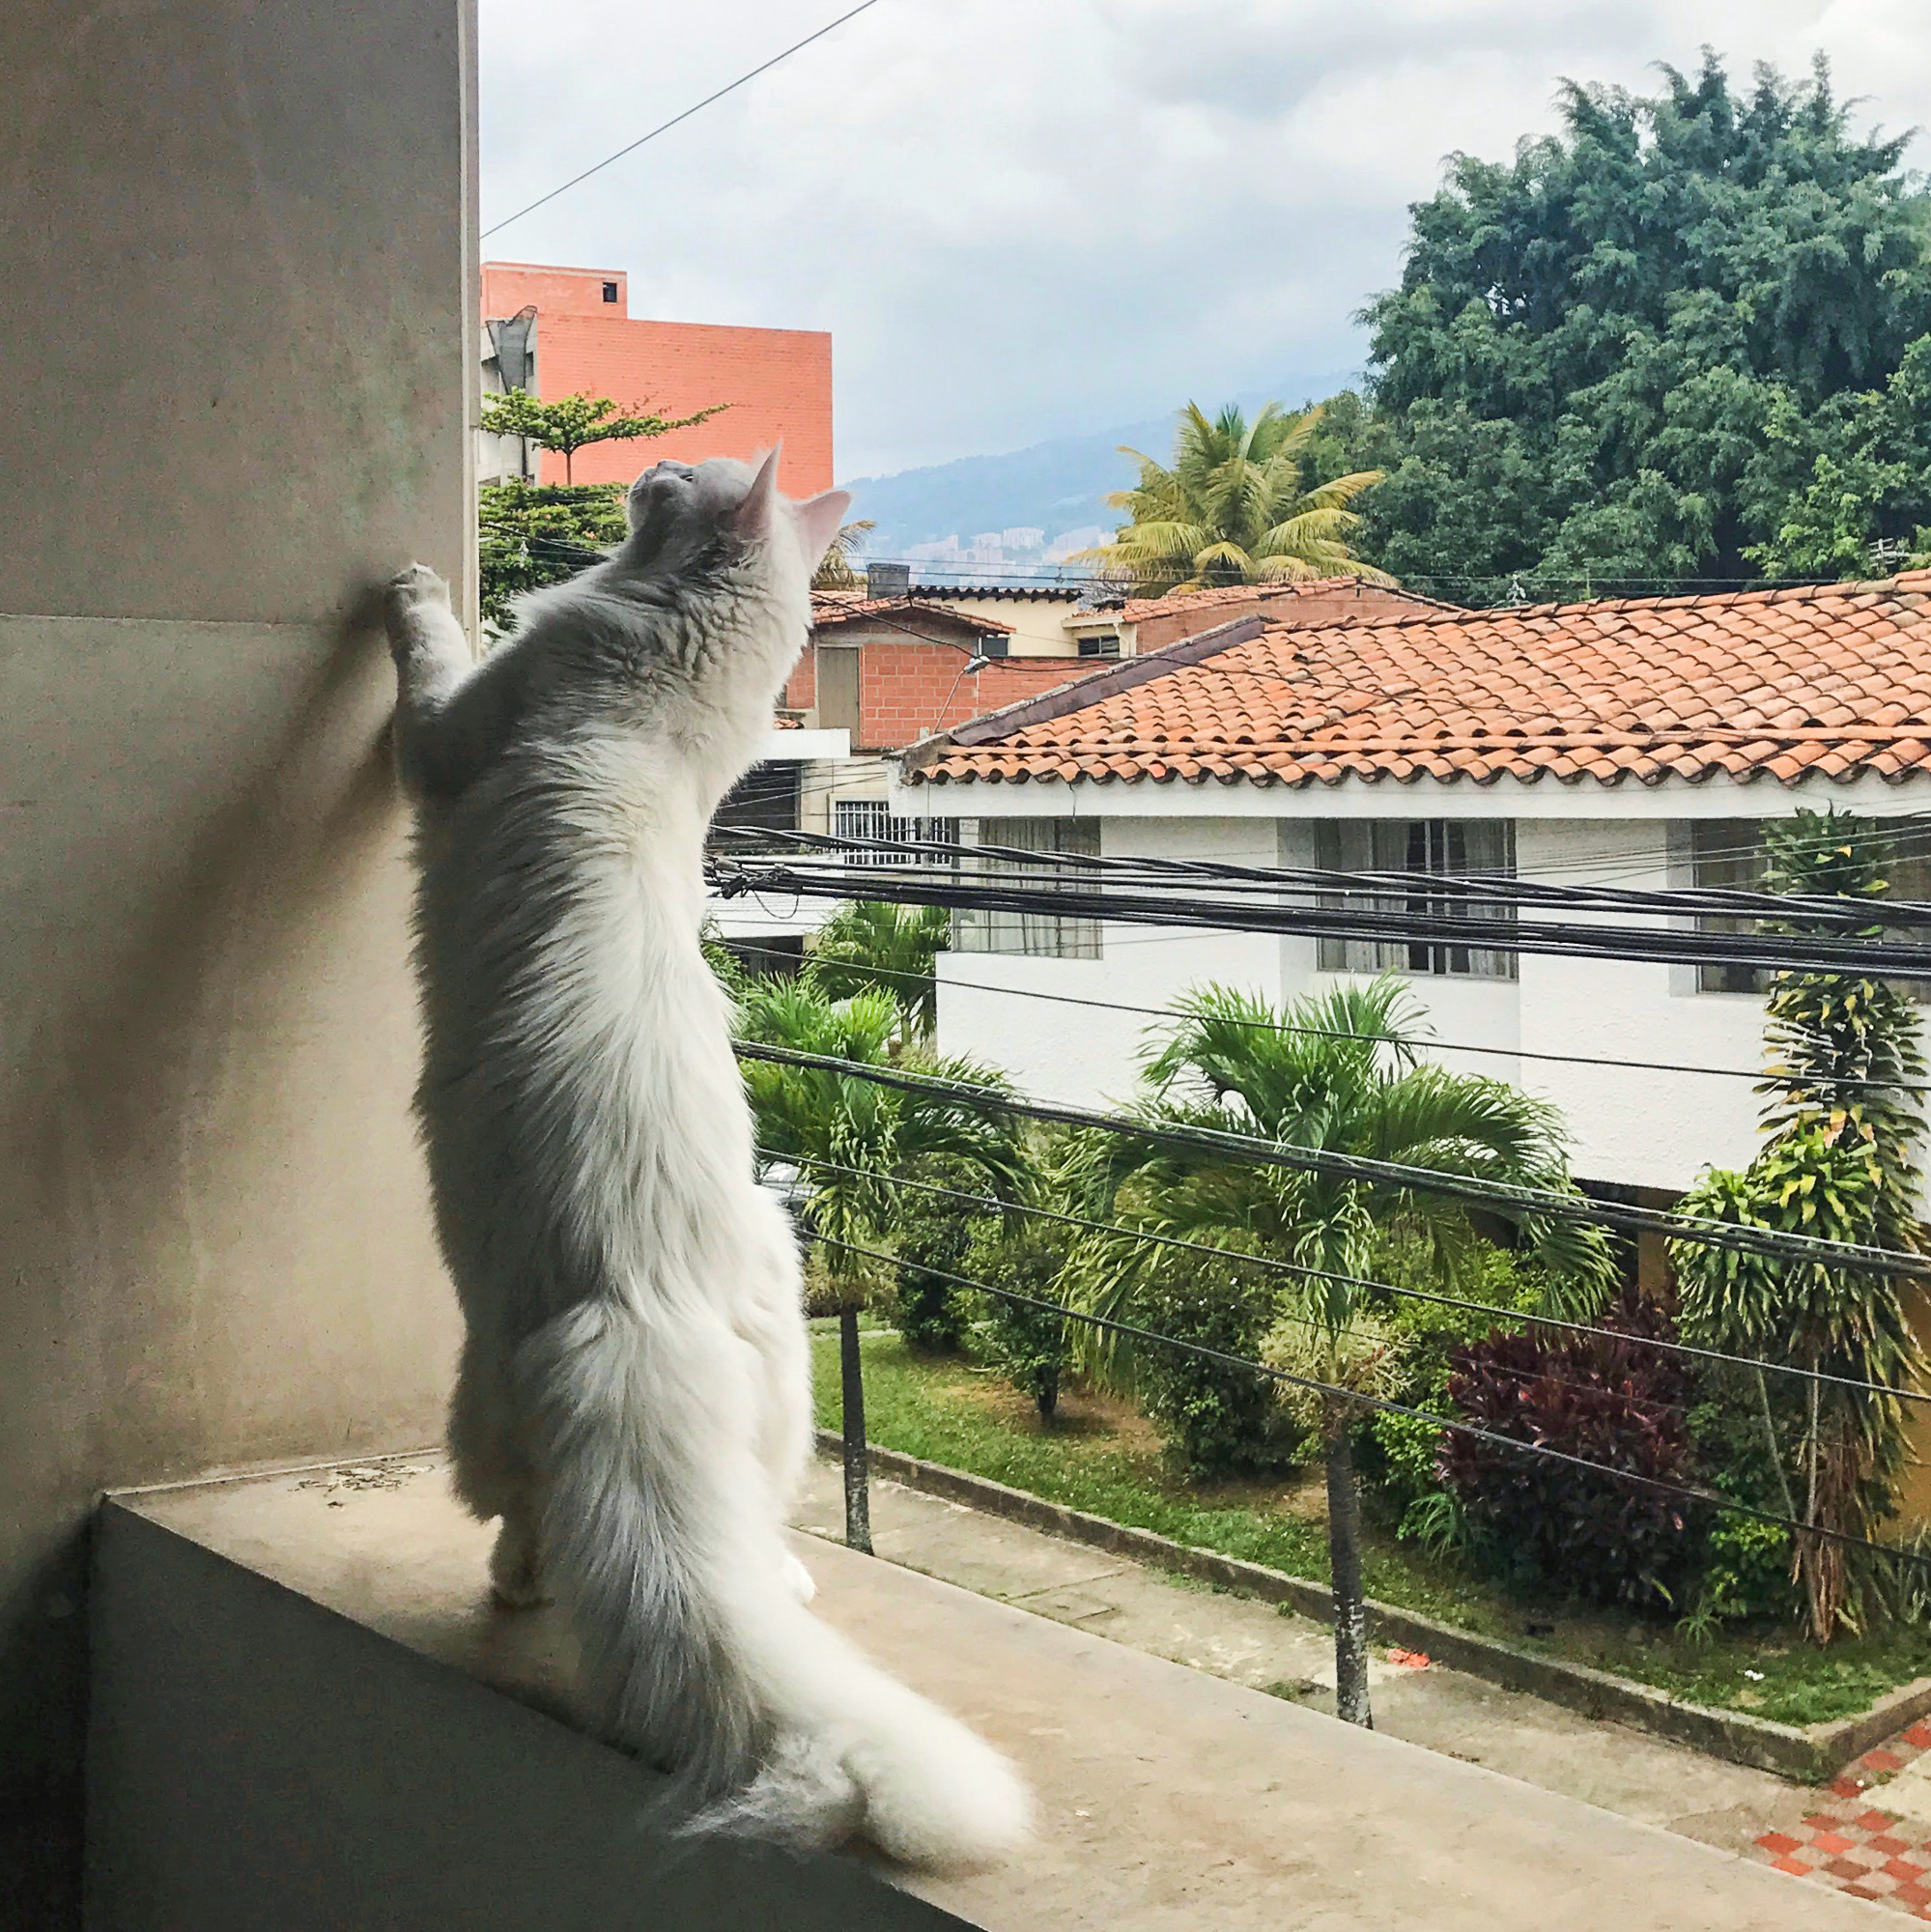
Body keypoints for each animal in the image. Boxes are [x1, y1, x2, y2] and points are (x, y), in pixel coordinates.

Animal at [382, 456, 1035, 1870]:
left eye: (687, 482)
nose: (649, 472)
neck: (662, 708)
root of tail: (646, 1313)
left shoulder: (453, 732)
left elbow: (426, 659)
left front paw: (406, 588)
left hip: (480, 1383)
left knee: (524, 1528)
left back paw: (515, 1583)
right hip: (778, 1299)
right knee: (752, 1518)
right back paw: (779, 1575)